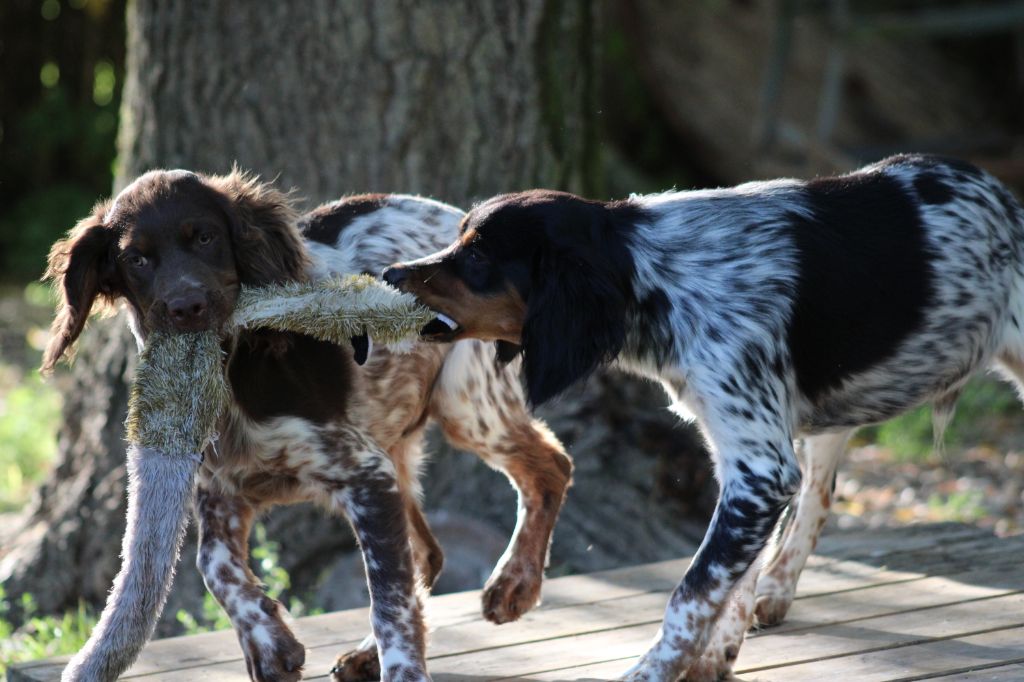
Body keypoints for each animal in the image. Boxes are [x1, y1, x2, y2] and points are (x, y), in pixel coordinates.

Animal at [44, 169, 573, 679]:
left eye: (206, 237)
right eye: (137, 259)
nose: (186, 307)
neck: (238, 368)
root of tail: (458, 218)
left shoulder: (364, 473)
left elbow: (388, 601)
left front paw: (402, 668)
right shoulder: (222, 490)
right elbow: (214, 564)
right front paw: (270, 643)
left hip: (467, 403)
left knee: (551, 467)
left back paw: (514, 584)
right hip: (396, 441)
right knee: (427, 553)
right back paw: (367, 654)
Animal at [385, 155, 1024, 679]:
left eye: (478, 254)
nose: (390, 273)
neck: (658, 277)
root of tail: (1005, 195)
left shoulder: (760, 470)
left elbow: (691, 592)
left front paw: (653, 672)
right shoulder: (749, 460)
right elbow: (731, 580)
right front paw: (714, 658)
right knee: (819, 492)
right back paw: (780, 588)